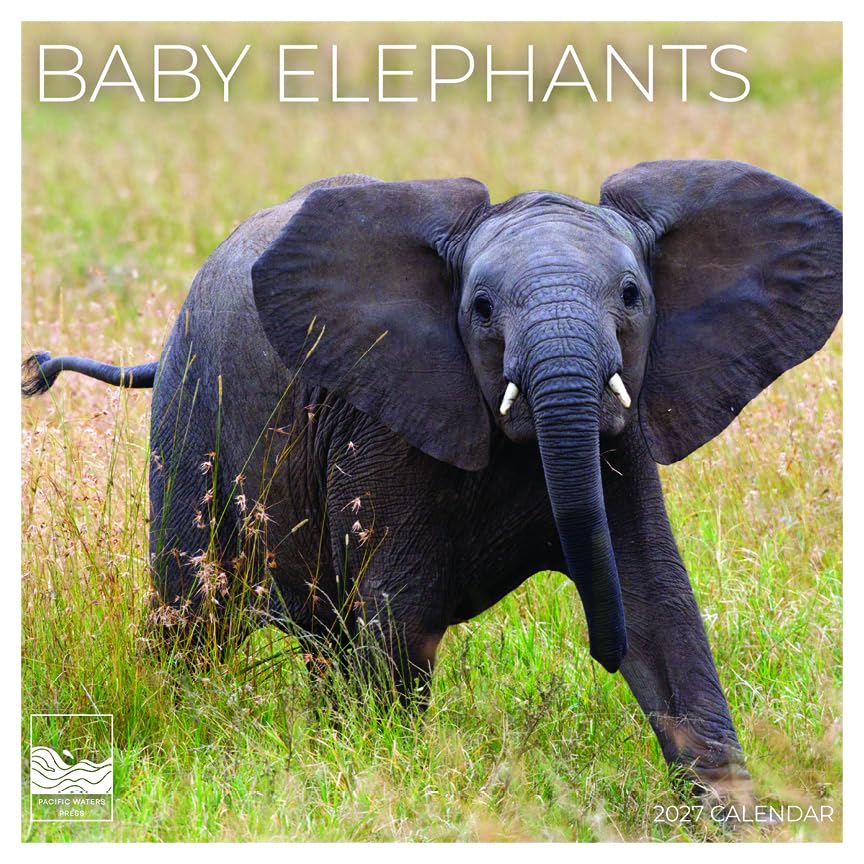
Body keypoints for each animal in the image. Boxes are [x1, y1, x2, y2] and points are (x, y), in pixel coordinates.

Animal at [22, 161, 842, 807]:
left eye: (634, 295)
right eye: (480, 309)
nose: (599, 650)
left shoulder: (624, 434)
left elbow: (659, 605)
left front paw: (737, 819)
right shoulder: (380, 421)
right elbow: (400, 612)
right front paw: (392, 775)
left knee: (323, 638)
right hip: (191, 409)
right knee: (194, 611)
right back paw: (189, 708)